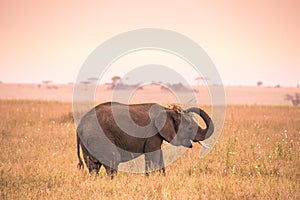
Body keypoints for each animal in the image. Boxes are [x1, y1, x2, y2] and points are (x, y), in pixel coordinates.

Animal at [76, 102, 214, 177]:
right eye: (190, 128)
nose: (181, 108)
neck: (166, 110)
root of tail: (79, 126)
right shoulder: (152, 133)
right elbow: (153, 155)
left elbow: (159, 156)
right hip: (100, 137)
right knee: (112, 162)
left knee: (93, 166)